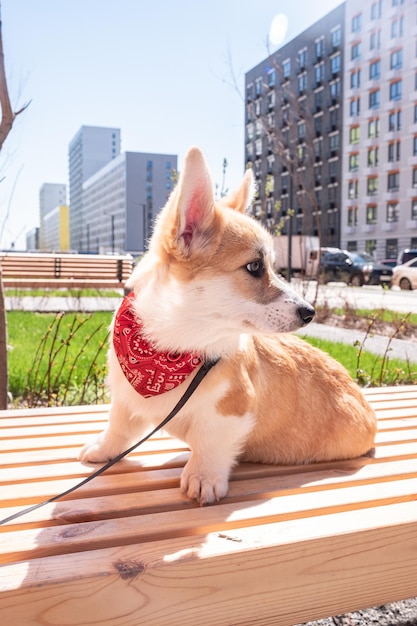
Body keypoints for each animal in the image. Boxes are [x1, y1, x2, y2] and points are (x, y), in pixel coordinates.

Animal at [80, 145, 376, 502]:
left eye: (272, 266)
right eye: (254, 266)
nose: (310, 313)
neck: (170, 345)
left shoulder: (229, 410)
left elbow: (211, 444)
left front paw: (202, 477)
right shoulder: (125, 399)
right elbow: (118, 427)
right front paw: (102, 449)